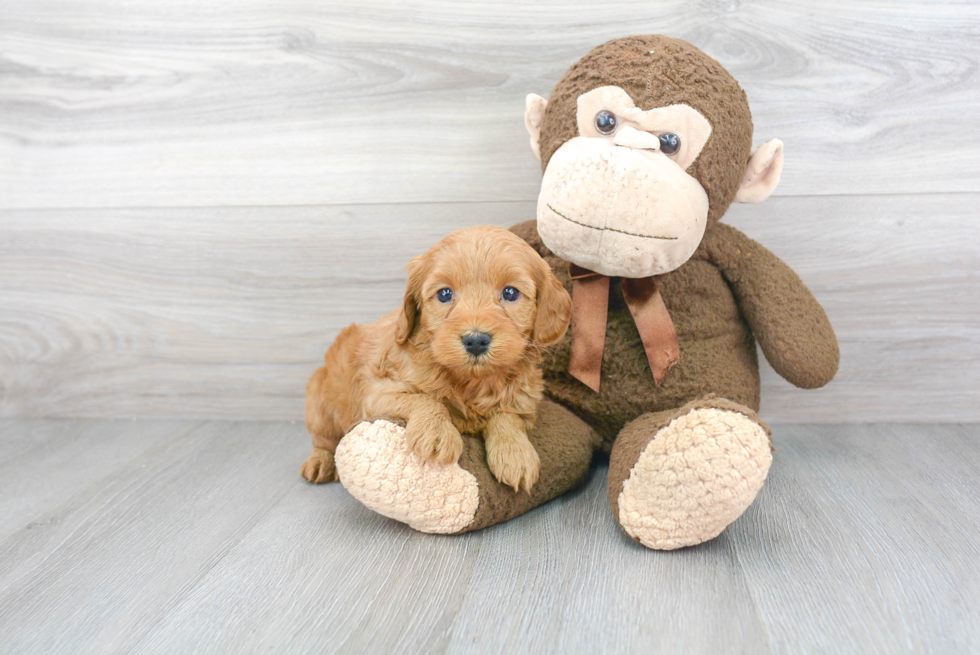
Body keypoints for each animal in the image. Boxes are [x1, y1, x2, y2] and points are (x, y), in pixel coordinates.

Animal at [302, 226, 572, 492]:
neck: (471, 382)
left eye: (510, 292)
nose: (476, 341)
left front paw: (516, 454)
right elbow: (425, 399)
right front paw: (437, 433)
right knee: (324, 439)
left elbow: (507, 414)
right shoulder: (376, 391)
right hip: (320, 404)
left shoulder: (525, 398)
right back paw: (319, 462)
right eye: (444, 294)